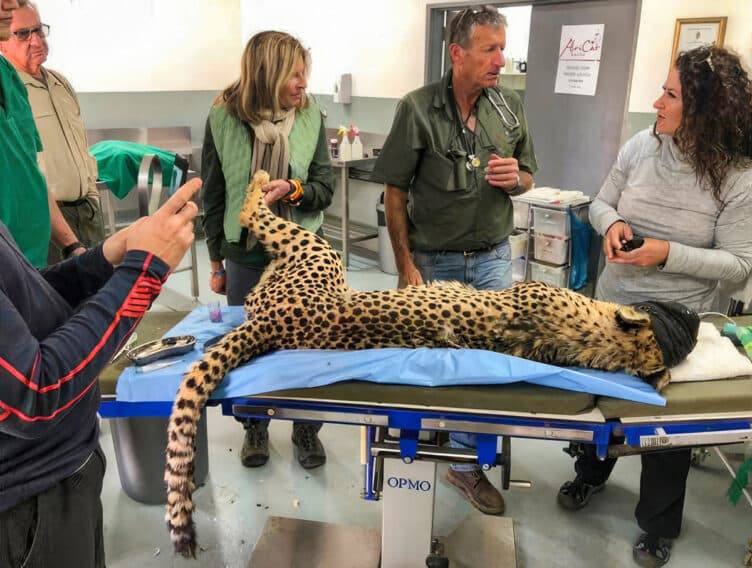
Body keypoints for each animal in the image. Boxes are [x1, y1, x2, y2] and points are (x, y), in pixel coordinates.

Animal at [164, 170, 700, 556]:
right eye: (669, 316)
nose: (695, 317)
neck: (596, 343)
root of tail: (268, 325)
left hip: (315, 251)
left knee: (249, 210)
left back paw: (261, 179)